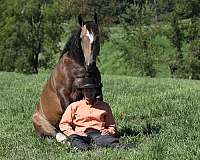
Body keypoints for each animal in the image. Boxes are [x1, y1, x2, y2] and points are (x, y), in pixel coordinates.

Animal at [32, 13, 103, 141]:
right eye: (82, 37)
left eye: (97, 36)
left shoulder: (97, 90)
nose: (90, 64)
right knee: (56, 133)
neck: (78, 67)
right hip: (44, 124)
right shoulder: (63, 93)